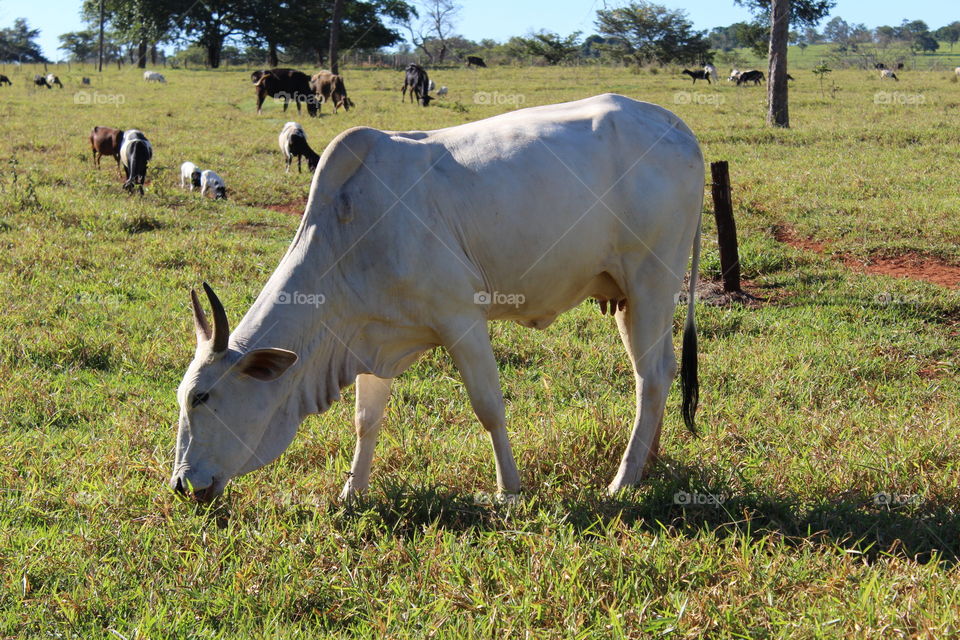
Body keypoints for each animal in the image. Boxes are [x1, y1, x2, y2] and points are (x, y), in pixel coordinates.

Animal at [169, 93, 704, 504]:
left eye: (202, 397)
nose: (179, 484)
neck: (349, 230)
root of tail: (674, 125)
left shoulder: (461, 319)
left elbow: (489, 407)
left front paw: (509, 492)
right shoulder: (372, 336)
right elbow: (366, 420)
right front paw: (351, 493)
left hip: (653, 281)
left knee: (652, 375)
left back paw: (623, 480)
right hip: (628, 296)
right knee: (658, 373)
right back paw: (647, 462)